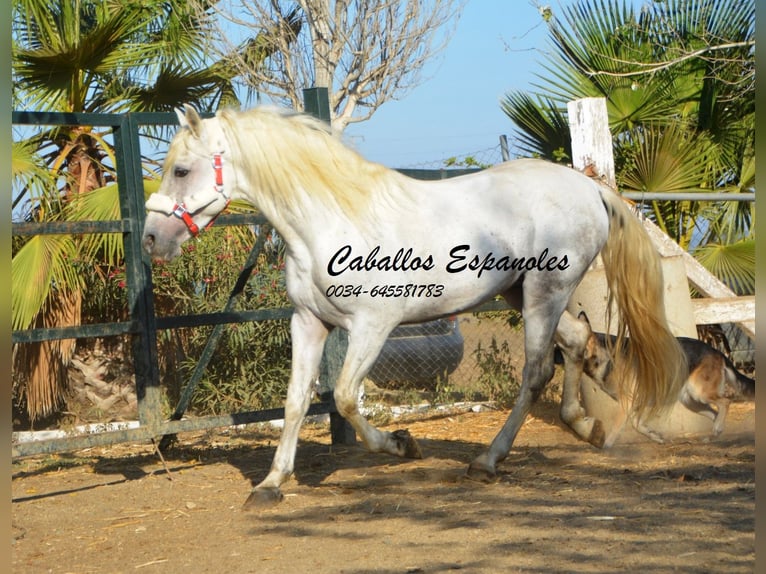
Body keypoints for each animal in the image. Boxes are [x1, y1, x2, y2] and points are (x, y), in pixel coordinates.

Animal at [144, 106, 688, 510]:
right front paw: (271, 484)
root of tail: (589, 187)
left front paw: (402, 444)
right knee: (577, 343)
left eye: (181, 169)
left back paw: (488, 461)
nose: (151, 239)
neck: (330, 222)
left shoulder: (372, 326)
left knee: (537, 371)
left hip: (545, 292)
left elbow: (345, 398)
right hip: (522, 292)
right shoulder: (309, 324)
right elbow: (296, 401)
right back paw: (586, 425)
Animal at [584, 316, 756, 446]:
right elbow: (637, 425)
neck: (606, 355)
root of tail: (716, 351)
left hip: (699, 393)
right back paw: (715, 433)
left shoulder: (626, 404)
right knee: (715, 413)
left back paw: (716, 429)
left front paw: (606, 447)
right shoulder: (635, 404)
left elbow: (617, 427)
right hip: (691, 401)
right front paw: (655, 436)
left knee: (726, 401)